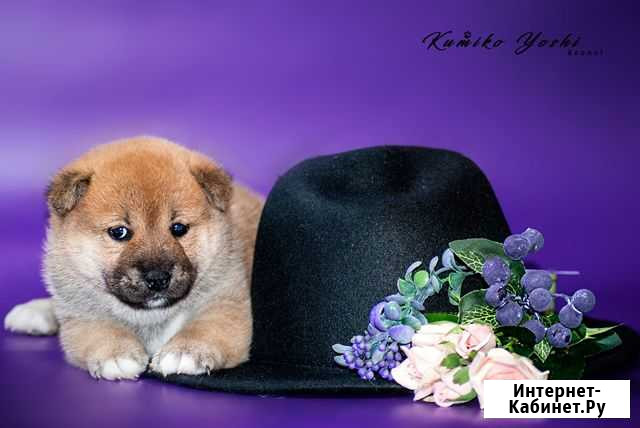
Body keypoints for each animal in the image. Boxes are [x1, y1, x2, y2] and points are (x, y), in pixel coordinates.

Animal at [4, 136, 263, 380]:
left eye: (178, 228)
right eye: (119, 232)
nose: (158, 279)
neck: (150, 317)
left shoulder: (226, 302)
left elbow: (207, 327)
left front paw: (185, 351)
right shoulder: (82, 315)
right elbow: (101, 330)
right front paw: (116, 353)